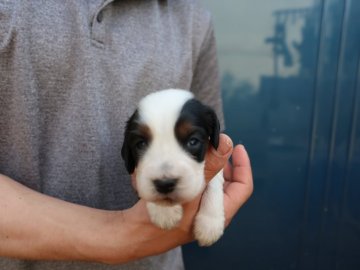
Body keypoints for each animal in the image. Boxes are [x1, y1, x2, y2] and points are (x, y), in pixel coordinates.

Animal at [121, 89, 225, 247]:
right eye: (141, 144)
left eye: (193, 141)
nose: (164, 184)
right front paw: (163, 212)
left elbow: (214, 181)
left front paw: (210, 223)